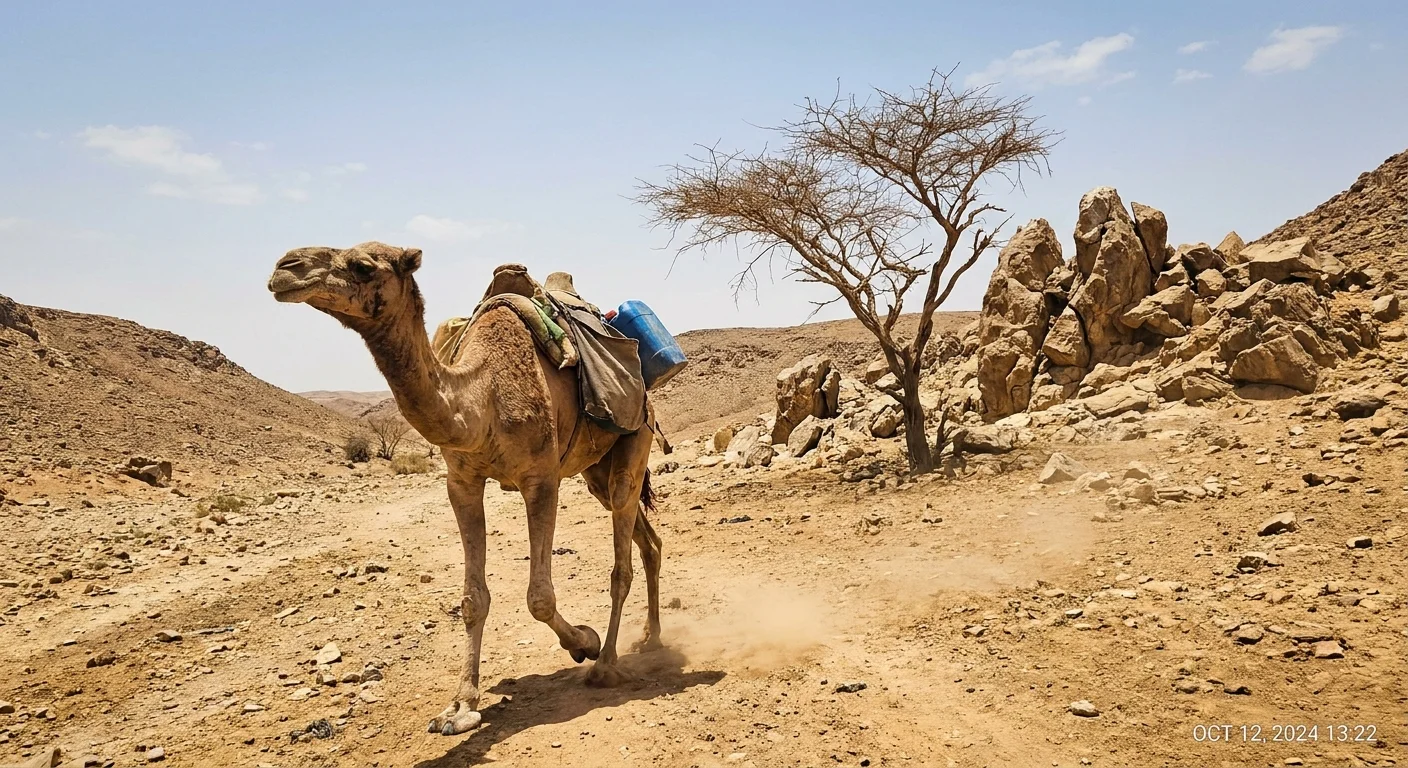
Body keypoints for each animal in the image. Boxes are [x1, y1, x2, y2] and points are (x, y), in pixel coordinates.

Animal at [267, 242, 663, 736]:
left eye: (362, 265)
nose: (284, 268)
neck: (481, 399)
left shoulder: (541, 479)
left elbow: (538, 597)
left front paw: (584, 642)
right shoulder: (461, 483)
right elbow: (473, 599)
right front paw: (460, 706)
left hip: (635, 437)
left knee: (621, 562)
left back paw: (607, 662)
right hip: (594, 471)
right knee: (648, 541)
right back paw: (651, 637)